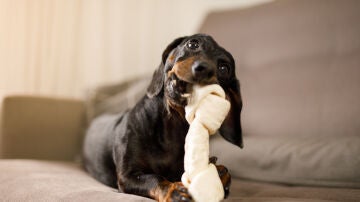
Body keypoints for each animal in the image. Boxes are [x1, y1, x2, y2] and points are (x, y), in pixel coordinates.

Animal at [83, 34, 243, 201]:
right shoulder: (128, 176)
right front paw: (174, 191)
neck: (171, 127)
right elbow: (155, 178)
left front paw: (220, 173)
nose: (203, 69)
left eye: (224, 68)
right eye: (193, 43)